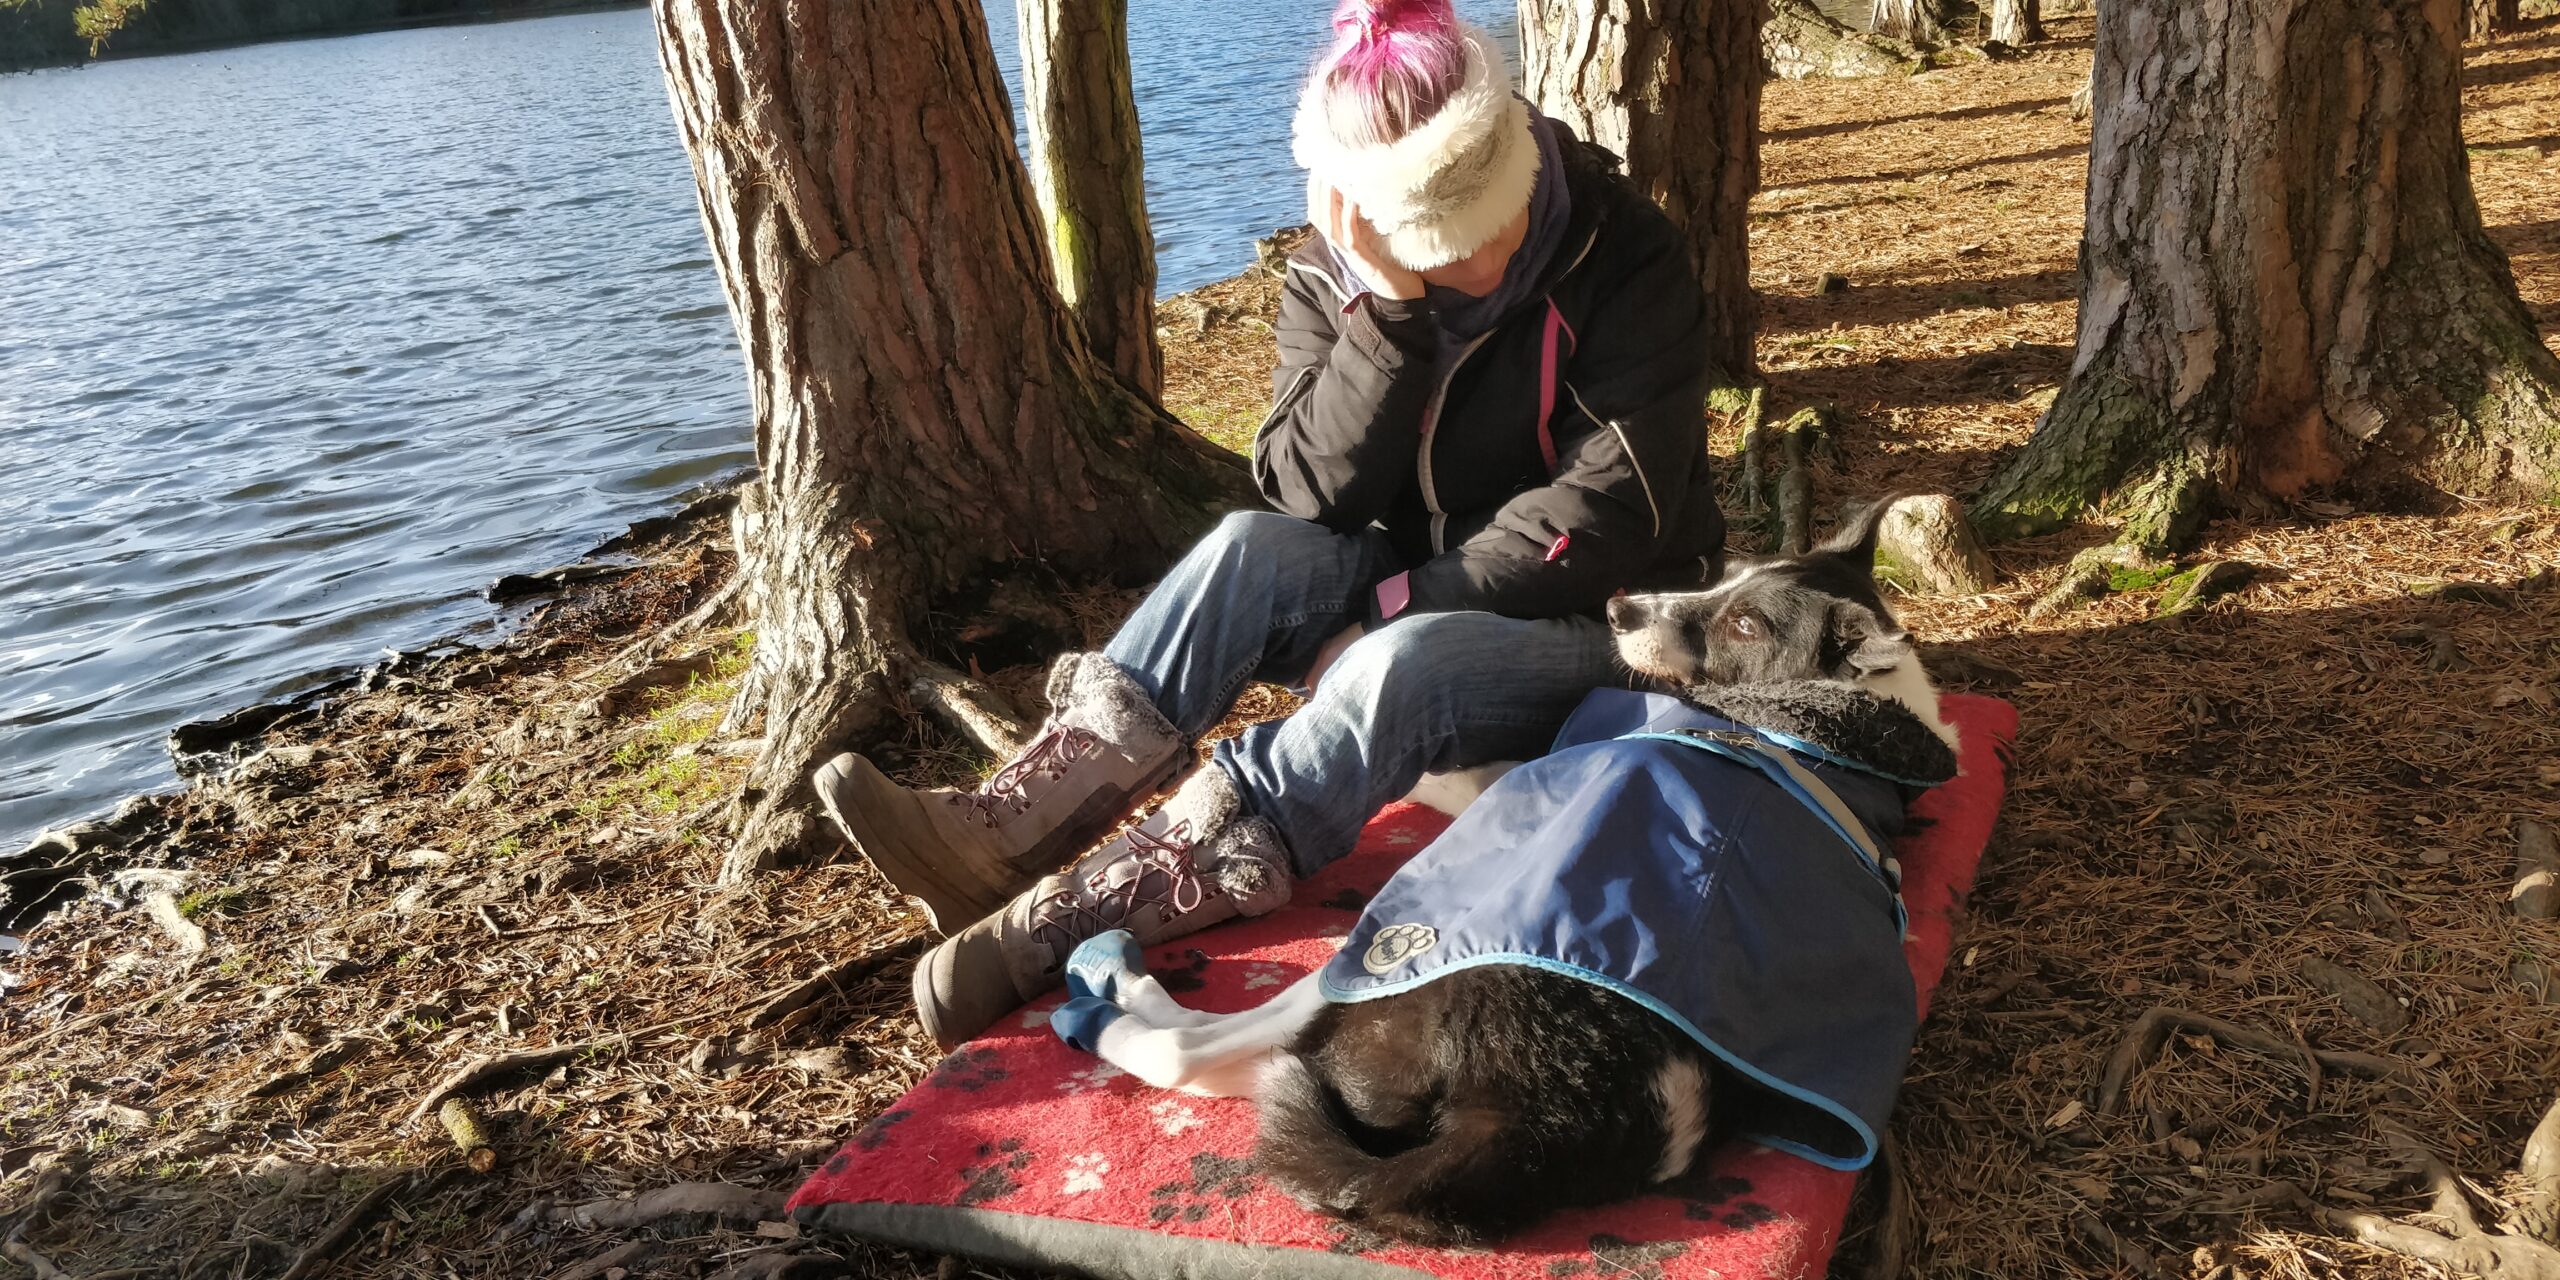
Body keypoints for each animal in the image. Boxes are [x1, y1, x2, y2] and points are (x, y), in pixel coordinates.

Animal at [1049, 504, 1945, 1244]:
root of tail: (1543, 1115)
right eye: (1728, 577)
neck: (1822, 729)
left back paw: (1108, 987)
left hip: (1383, 967)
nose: (1619, 608)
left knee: (1203, 1057)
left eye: (1747, 624)